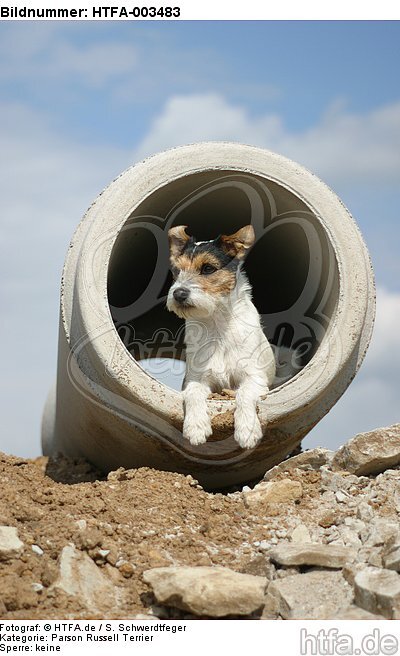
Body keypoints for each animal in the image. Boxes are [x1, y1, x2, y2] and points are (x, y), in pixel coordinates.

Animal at [166, 226, 276, 452]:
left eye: (208, 268)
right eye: (177, 271)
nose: (179, 294)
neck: (217, 324)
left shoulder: (255, 378)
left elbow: (244, 394)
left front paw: (247, 430)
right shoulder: (196, 379)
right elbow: (193, 393)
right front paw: (196, 427)